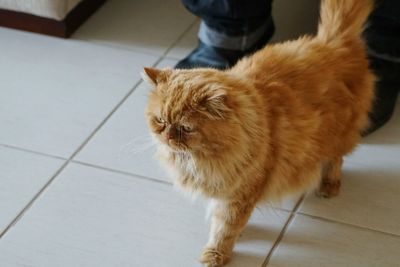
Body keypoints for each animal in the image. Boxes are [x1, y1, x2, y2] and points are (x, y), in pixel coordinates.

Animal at [142, 0, 374, 266]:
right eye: (160, 121)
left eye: (185, 128)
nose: (167, 137)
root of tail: (333, 41)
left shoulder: (240, 193)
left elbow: (224, 228)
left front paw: (216, 254)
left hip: (338, 137)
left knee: (336, 160)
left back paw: (329, 186)